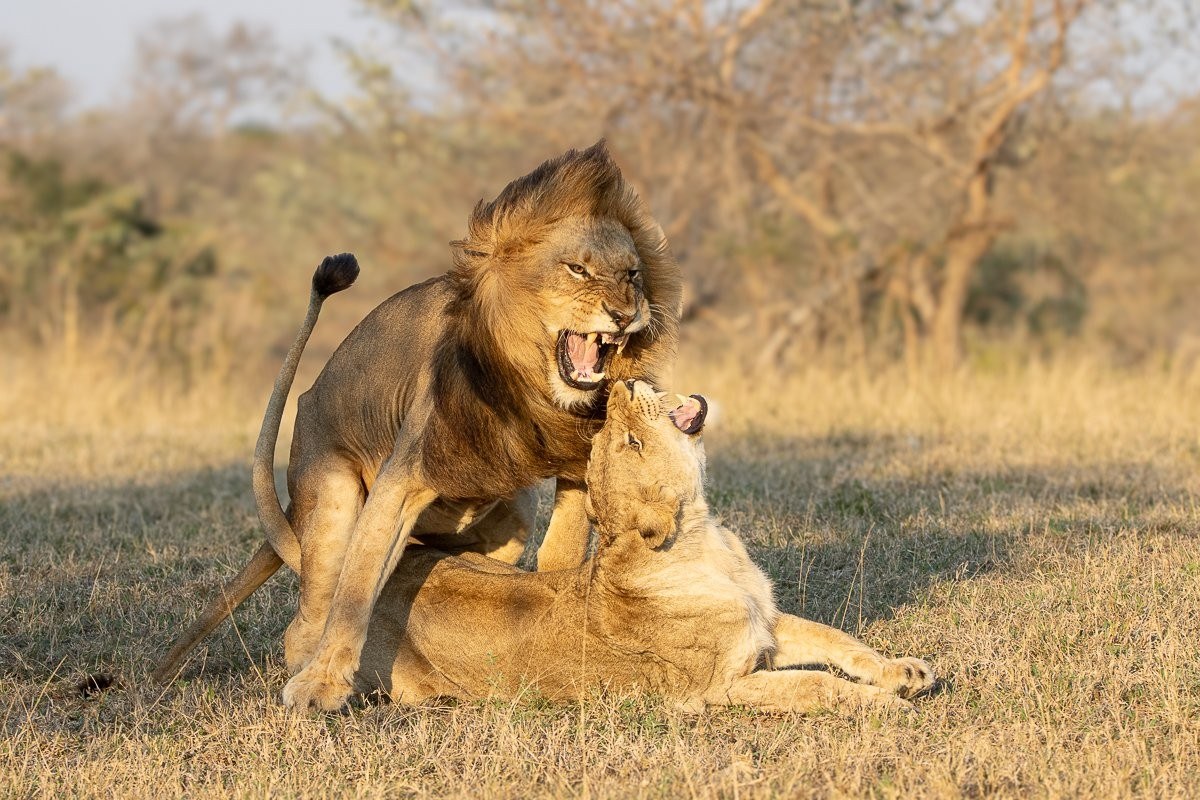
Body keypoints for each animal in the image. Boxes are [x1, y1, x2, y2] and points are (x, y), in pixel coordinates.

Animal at [149, 143, 683, 712]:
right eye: (577, 269)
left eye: (633, 275)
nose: (624, 314)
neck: (529, 387)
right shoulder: (404, 474)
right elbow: (357, 586)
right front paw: (323, 683)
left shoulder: (574, 460)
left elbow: (562, 547)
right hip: (333, 494)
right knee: (315, 604)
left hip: (509, 516)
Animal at [349, 380, 937, 713]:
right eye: (630, 440)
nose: (623, 385)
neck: (703, 535)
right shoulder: (720, 687)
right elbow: (814, 685)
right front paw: (887, 706)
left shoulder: (766, 625)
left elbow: (839, 641)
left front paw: (904, 673)